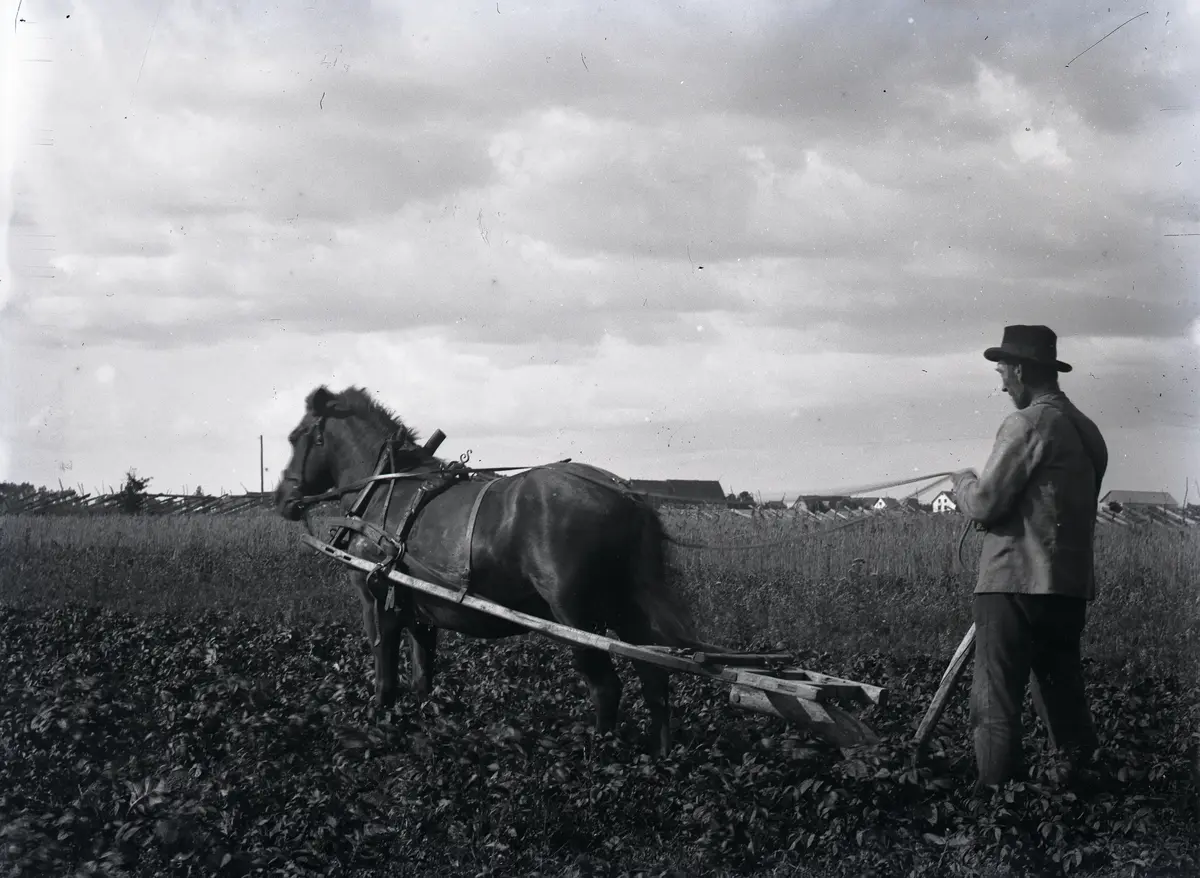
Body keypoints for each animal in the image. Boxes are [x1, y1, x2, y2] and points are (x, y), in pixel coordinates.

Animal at [273, 385, 709, 754]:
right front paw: (425, 732)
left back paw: (596, 757)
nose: (283, 498)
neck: (386, 491)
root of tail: (624, 492)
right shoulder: (420, 613)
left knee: (606, 688)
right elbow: (422, 679)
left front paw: (377, 728)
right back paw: (659, 759)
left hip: (577, 616)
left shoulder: (377, 603)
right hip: (625, 610)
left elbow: (386, 681)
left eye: (296, 436)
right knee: (654, 680)